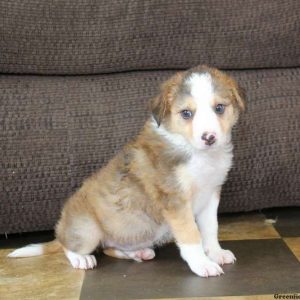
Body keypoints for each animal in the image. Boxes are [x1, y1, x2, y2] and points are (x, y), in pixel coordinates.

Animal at [8, 65, 245, 276]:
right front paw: (202, 264)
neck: (197, 154)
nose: (209, 137)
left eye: (219, 108)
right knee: (70, 247)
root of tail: (62, 229)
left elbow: (210, 229)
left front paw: (216, 254)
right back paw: (82, 259)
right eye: (186, 113)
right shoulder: (174, 200)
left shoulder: (211, 194)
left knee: (110, 248)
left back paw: (138, 253)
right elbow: (191, 235)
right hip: (88, 229)